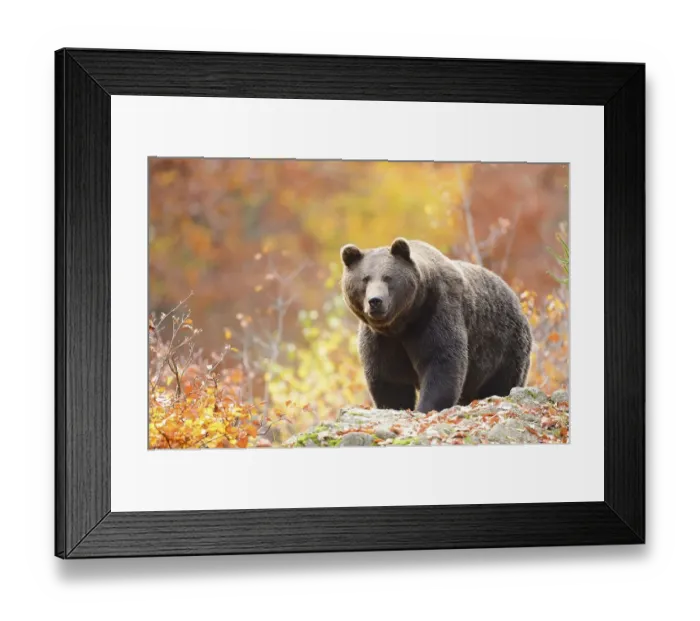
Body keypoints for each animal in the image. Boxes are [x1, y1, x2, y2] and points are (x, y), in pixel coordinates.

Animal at [340, 237, 533, 414]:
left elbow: (441, 361)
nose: (375, 301)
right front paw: (395, 406)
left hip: (504, 346)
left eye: (388, 278)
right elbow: (389, 376)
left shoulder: (435, 314)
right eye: (365, 279)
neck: (403, 322)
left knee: (502, 383)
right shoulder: (382, 338)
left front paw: (425, 407)